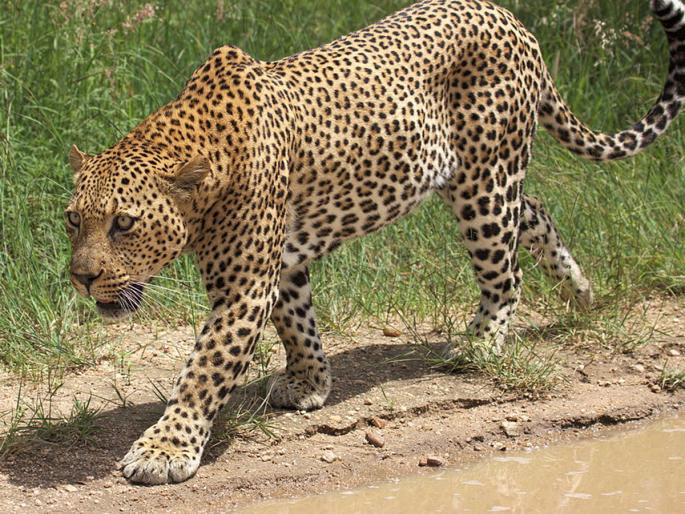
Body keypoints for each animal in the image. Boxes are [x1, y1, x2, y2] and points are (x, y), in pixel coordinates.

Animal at [64, 0, 685, 485]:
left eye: (124, 223)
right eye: (73, 220)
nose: (81, 277)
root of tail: (513, 19)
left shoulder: (244, 286)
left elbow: (205, 369)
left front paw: (163, 450)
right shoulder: (281, 264)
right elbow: (298, 323)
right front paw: (310, 384)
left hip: (484, 183)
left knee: (505, 272)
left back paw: (482, 344)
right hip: (480, 179)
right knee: (535, 214)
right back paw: (582, 295)